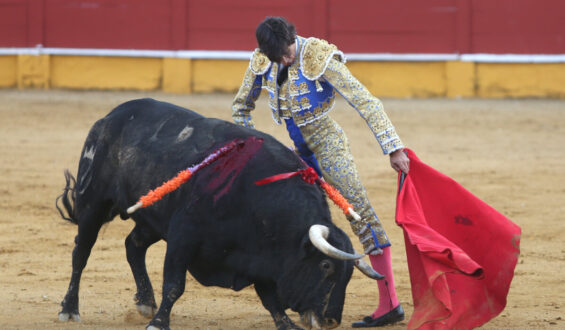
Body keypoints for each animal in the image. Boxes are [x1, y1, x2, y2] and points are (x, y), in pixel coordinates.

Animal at [57, 99, 374, 328]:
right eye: (326, 266)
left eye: (348, 275)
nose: (331, 320)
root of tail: (110, 117)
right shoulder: (183, 236)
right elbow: (174, 284)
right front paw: (159, 323)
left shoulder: (261, 255)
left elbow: (270, 297)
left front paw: (286, 324)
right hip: (93, 203)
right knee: (81, 253)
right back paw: (70, 309)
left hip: (152, 219)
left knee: (133, 246)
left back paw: (145, 301)